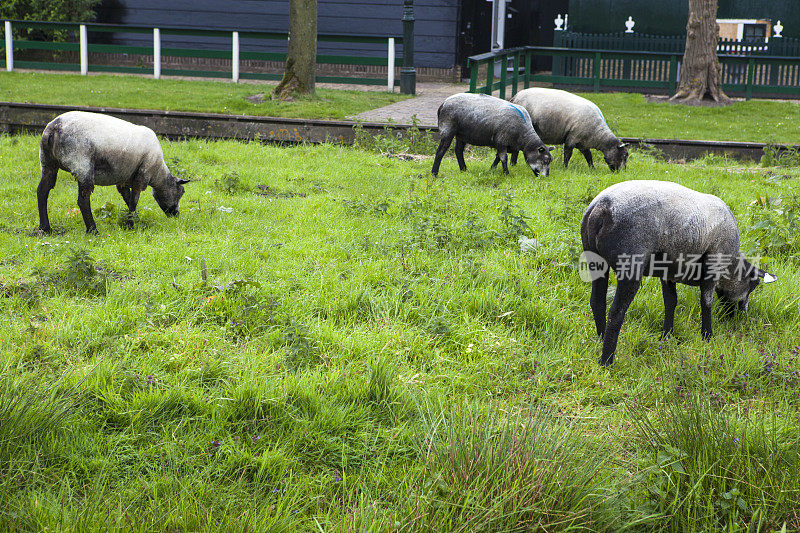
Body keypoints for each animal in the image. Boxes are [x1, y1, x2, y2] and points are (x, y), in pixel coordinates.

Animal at [36, 111, 191, 234]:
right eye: (181, 192)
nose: (176, 215)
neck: (158, 173)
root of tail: (55, 127)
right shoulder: (142, 176)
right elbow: (134, 200)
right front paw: (131, 225)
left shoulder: (124, 179)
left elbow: (128, 199)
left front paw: (134, 220)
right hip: (81, 164)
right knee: (83, 201)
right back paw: (93, 230)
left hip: (47, 162)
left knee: (42, 191)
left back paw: (45, 228)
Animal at [580, 181, 776, 364]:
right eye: (753, 285)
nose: (741, 316)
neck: (731, 265)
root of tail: (601, 207)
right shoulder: (713, 262)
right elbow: (706, 302)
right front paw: (707, 336)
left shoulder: (669, 271)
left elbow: (670, 302)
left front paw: (667, 336)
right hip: (630, 262)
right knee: (616, 313)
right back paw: (607, 361)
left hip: (595, 260)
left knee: (597, 301)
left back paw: (601, 338)